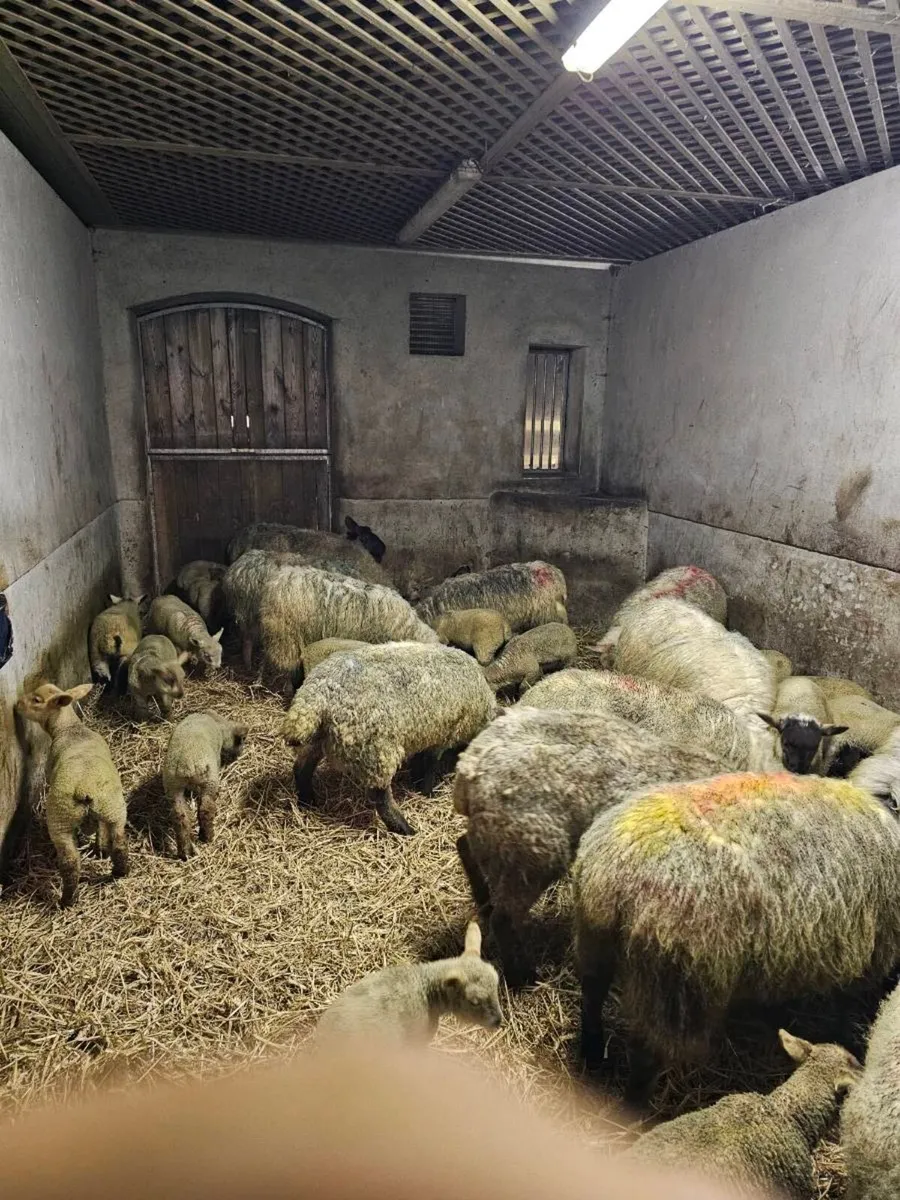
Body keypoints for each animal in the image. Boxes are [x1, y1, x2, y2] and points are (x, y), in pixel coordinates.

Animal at [15, 683, 128, 907]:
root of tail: (85, 788)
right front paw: (100, 847)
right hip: (113, 809)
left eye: (37, 700)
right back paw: (119, 872)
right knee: (119, 843)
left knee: (70, 862)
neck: (70, 729)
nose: (17, 704)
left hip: (60, 820)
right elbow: (100, 829)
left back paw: (67, 900)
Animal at [162, 712, 246, 859]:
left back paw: (184, 851)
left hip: (173, 787)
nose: (239, 754)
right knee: (206, 810)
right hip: (209, 780)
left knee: (180, 818)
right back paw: (207, 837)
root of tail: (186, 765)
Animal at [282, 642, 496, 836]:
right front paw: (427, 792)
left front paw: (416, 783)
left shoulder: (423, 733)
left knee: (302, 767)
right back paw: (404, 828)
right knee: (380, 797)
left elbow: (420, 761)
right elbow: (430, 765)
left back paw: (307, 801)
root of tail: (316, 694)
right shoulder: (443, 734)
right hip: (376, 750)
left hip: (319, 739)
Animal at [453, 705, 725, 984]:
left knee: (464, 846)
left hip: (497, 838)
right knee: (504, 919)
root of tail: (471, 766)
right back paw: (521, 975)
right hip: (530, 854)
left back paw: (484, 902)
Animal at [572, 770, 900, 1103]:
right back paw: (634, 1106)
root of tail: (616, 870)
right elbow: (845, 1010)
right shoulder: (870, 953)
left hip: (594, 937)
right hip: (674, 982)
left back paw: (592, 1053)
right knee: (647, 1053)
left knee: (592, 994)